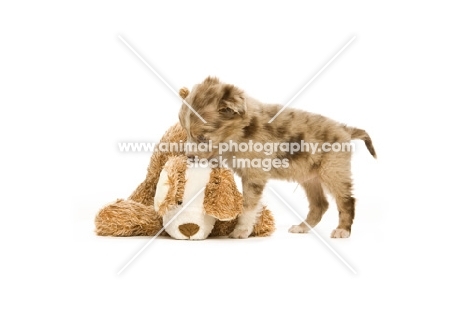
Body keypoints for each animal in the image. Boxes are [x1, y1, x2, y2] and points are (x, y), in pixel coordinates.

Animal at [179, 76, 376, 239]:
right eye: (186, 132)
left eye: (203, 137)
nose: (189, 157)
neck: (241, 131)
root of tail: (345, 129)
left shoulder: (254, 175)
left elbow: (249, 206)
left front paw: (241, 231)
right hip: (309, 178)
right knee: (320, 204)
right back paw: (302, 227)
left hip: (333, 170)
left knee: (346, 200)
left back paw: (343, 230)